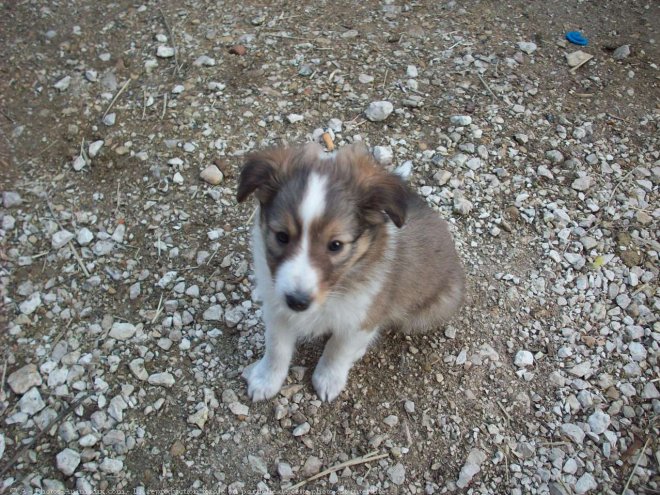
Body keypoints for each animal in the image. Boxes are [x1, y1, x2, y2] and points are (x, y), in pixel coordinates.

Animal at [237, 144, 464, 404]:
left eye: (335, 245)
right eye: (282, 236)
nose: (297, 302)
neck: (336, 288)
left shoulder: (361, 316)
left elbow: (338, 350)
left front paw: (328, 380)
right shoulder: (276, 307)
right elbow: (276, 348)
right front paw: (266, 380)